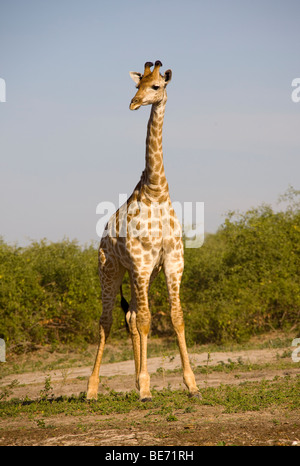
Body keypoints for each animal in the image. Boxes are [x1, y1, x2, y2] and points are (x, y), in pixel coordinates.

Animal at [86, 59, 199, 400]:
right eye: (137, 85)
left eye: (156, 86)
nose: (134, 103)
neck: (156, 191)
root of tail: (102, 237)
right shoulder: (141, 262)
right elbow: (149, 320)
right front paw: (146, 388)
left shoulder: (172, 262)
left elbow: (176, 317)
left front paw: (192, 385)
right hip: (111, 271)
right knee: (107, 320)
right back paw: (92, 389)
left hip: (139, 275)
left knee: (132, 316)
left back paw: (135, 378)